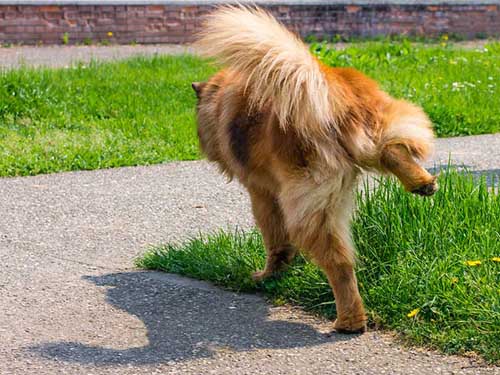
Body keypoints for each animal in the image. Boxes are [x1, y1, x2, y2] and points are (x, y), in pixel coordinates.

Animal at [192, 5, 438, 334]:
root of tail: (326, 92)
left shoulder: (262, 193)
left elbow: (275, 239)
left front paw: (268, 275)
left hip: (313, 204)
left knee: (339, 264)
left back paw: (349, 320)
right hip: (383, 124)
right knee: (392, 150)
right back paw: (421, 182)